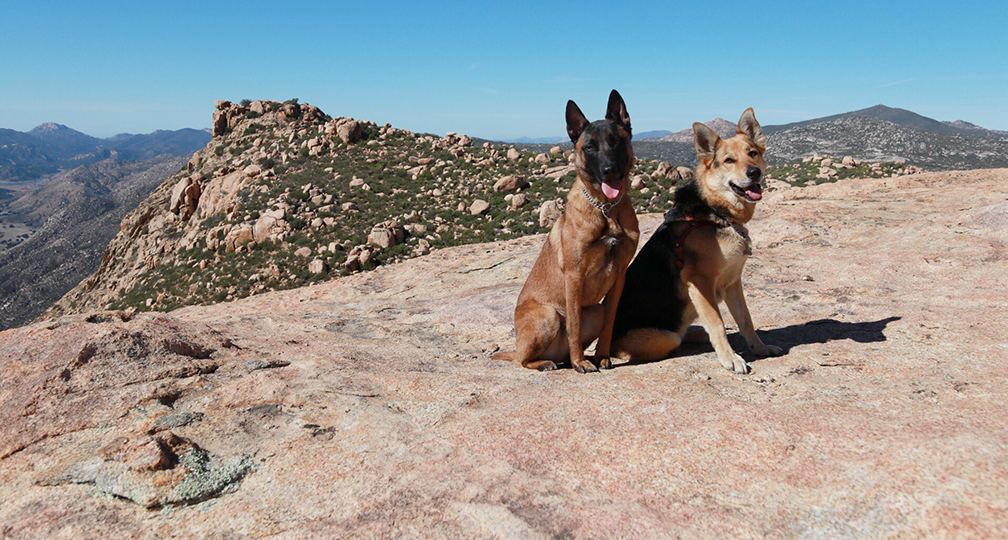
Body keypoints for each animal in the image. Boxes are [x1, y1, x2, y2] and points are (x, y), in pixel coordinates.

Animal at [493, 90, 637, 372]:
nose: (610, 170)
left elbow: (609, 325)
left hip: (595, 310)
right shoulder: (574, 275)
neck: (605, 208)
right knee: (523, 360)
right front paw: (581, 362)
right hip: (548, 316)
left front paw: (601, 356)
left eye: (616, 141)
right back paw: (549, 362)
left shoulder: (620, 277)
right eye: (589, 147)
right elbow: (574, 324)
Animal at [608, 107, 782, 372]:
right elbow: (717, 323)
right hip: (662, 336)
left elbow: (746, 320)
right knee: (670, 340)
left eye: (752, 153)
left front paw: (760, 348)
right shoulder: (700, 283)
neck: (716, 214)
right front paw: (730, 358)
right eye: (728, 160)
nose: (754, 172)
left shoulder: (733, 283)